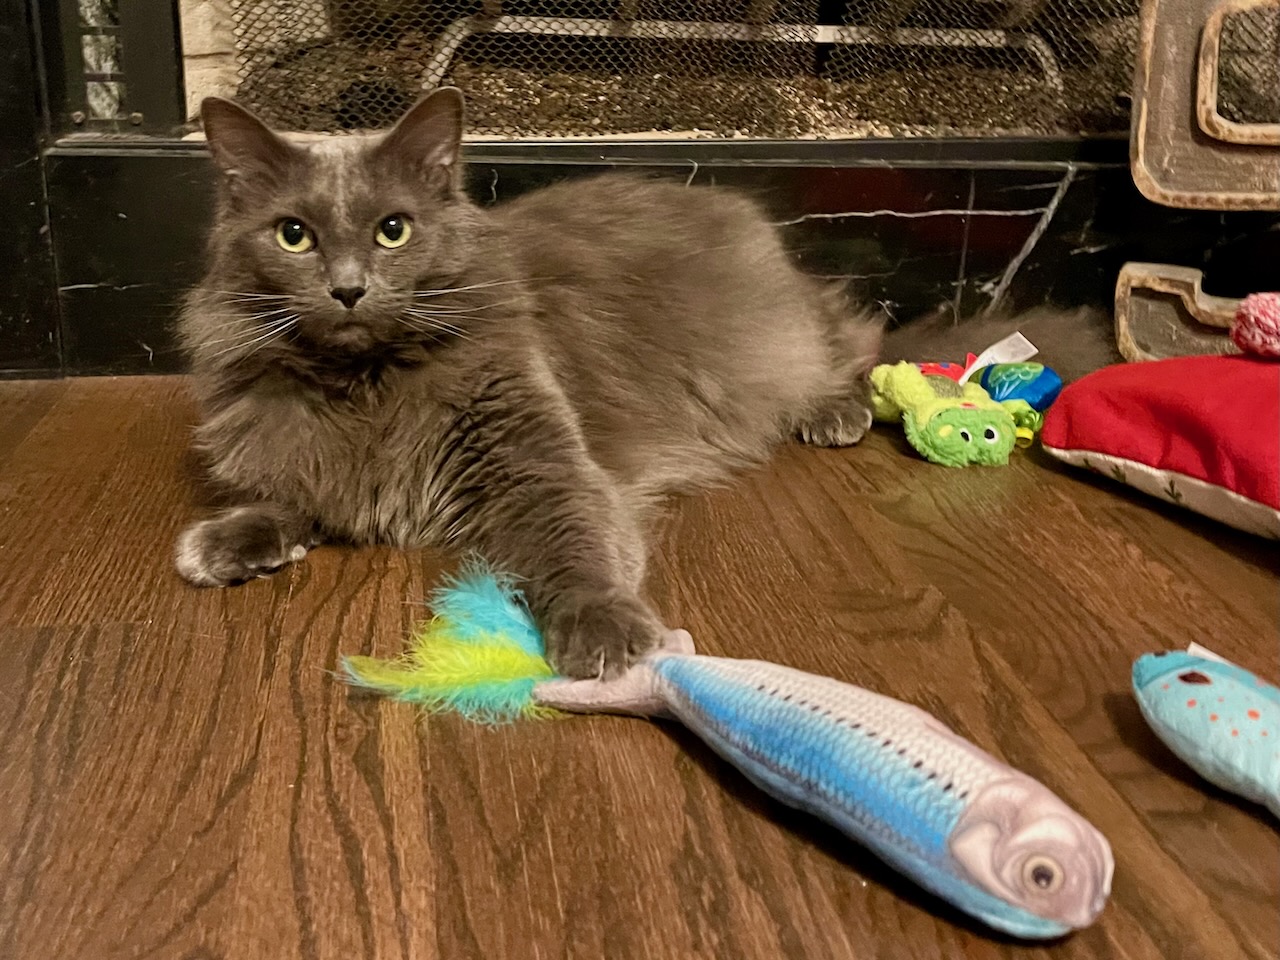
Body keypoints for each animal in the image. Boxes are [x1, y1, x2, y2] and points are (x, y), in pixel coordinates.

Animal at [174, 87, 882, 679]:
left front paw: (601, 628)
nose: (348, 289)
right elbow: (290, 496)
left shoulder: (539, 467)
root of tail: (725, 199)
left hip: (772, 348)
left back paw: (836, 413)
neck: (366, 384)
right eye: (294, 236)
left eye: (393, 230)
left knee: (849, 339)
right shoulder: (304, 458)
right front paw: (225, 543)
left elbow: (574, 545)